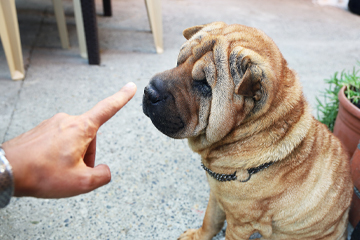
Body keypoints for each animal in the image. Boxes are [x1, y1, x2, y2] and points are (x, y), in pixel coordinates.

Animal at [142, 21, 352, 239]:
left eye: (204, 84)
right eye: (179, 61)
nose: (149, 92)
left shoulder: (241, 223)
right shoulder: (216, 195)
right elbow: (210, 219)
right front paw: (197, 235)